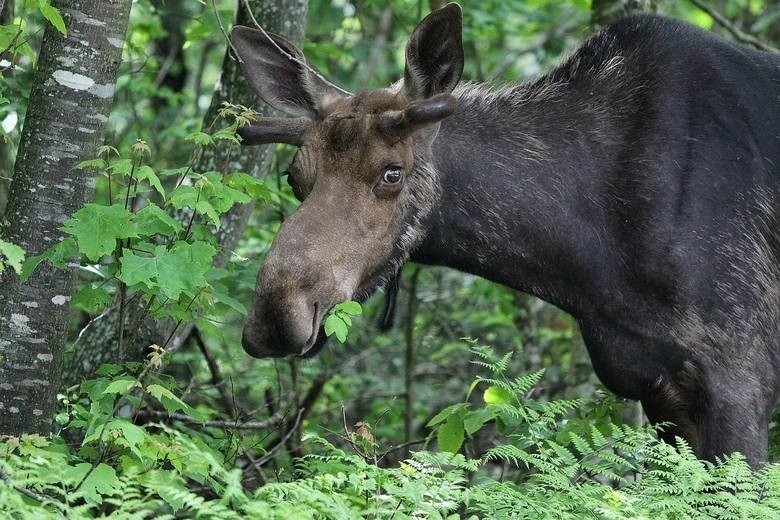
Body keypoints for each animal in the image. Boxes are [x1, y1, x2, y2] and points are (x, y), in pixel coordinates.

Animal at [230, 4, 780, 466]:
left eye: (391, 173)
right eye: (293, 178)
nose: (275, 312)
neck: (590, 267)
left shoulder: (740, 382)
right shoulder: (659, 392)